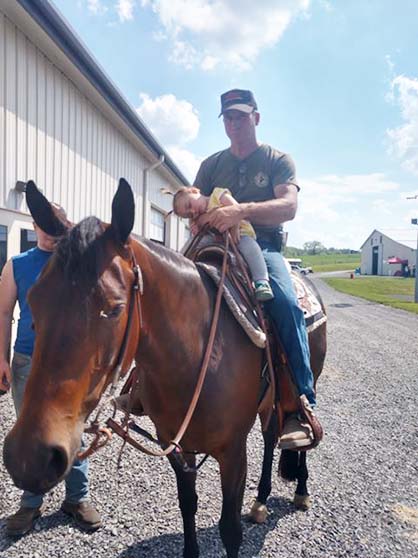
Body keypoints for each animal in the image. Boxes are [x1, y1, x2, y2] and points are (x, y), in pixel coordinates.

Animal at [3, 180, 326, 558]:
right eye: (33, 299)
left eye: (114, 308)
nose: (30, 457)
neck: (197, 358)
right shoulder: (174, 444)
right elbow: (188, 504)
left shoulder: (233, 452)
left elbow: (230, 530)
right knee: (272, 432)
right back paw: (260, 500)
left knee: (293, 422)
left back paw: (300, 484)